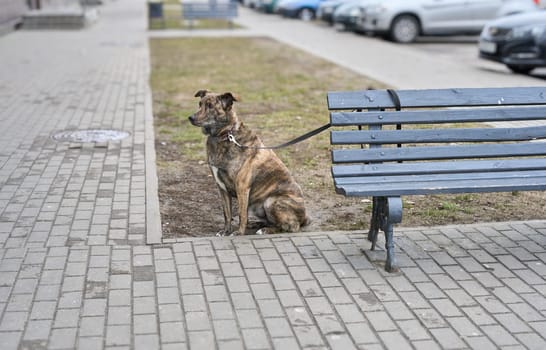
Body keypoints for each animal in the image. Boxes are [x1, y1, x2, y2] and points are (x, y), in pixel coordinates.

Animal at [187, 90, 308, 237]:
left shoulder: (242, 187)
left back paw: (266, 230)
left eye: (210, 106)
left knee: (291, 226)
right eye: (200, 104)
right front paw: (226, 231)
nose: (190, 118)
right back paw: (256, 224)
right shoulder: (221, 188)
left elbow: (241, 214)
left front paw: (239, 232)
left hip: (271, 202)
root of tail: (305, 218)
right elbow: (227, 213)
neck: (225, 135)